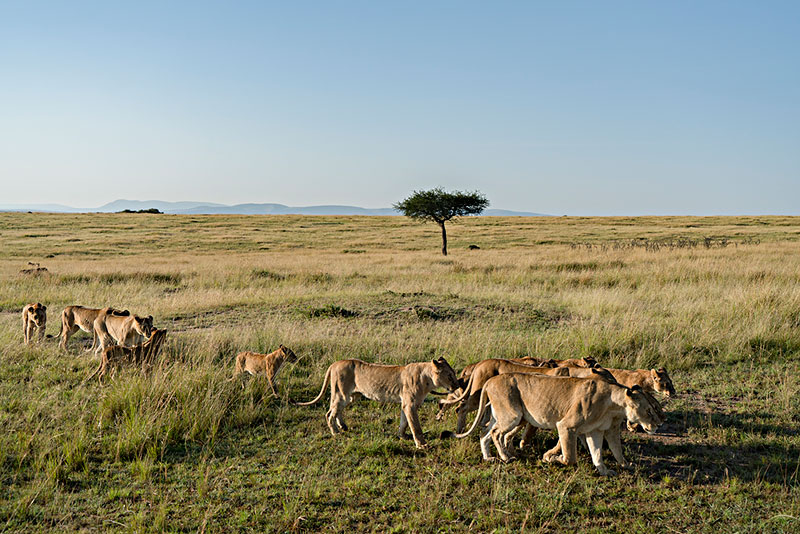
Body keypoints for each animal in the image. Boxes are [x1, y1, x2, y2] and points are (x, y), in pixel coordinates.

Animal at [294, 358, 460, 450]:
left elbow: (404, 422)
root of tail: (335, 363)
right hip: (341, 394)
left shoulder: (406, 404)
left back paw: (343, 426)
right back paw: (335, 432)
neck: (428, 379)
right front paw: (422, 445)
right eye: (450, 375)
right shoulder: (410, 404)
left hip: (352, 396)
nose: (457, 385)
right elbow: (416, 426)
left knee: (337, 411)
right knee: (330, 413)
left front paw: (402, 436)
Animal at [454, 372, 664, 478]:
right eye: (650, 410)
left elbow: (601, 452)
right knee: (497, 433)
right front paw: (550, 458)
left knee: (485, 432)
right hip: (512, 414)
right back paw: (506, 457)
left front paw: (606, 470)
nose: (659, 424)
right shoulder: (566, 426)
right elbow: (570, 457)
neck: (614, 405)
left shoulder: (595, 430)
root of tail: (490, 380)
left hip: (501, 414)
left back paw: (489, 458)